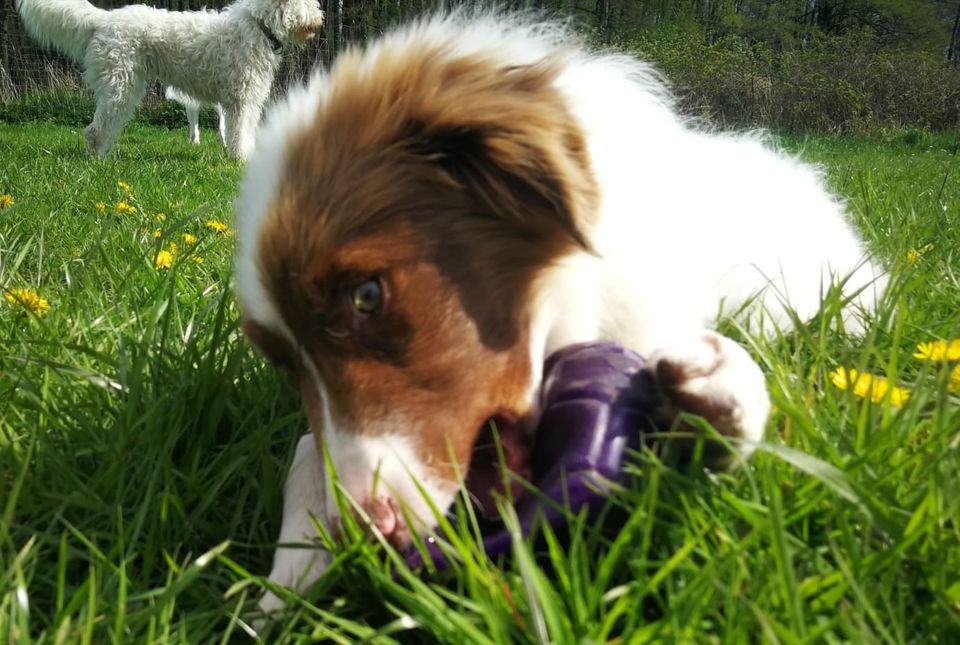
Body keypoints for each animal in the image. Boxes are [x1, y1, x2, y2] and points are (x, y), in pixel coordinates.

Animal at [16, 0, 324, 160]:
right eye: (308, 2)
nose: (321, 19)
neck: (258, 26)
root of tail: (105, 19)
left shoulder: (245, 102)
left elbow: (244, 132)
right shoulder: (241, 101)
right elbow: (239, 134)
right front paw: (241, 160)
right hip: (120, 86)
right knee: (96, 128)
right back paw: (97, 160)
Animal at [234, 15, 884, 608]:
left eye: (366, 295)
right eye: (282, 362)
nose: (366, 531)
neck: (575, 300)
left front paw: (721, 404)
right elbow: (305, 449)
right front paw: (286, 578)